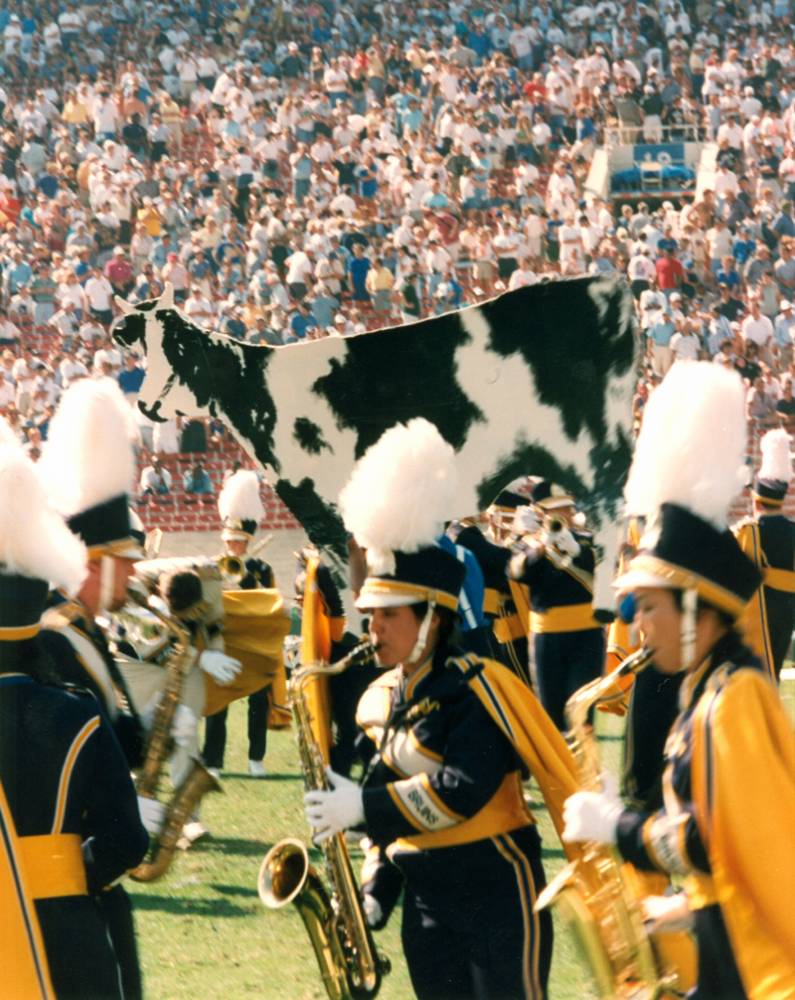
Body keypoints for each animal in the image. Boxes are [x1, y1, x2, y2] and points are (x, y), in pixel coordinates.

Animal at [112, 278, 636, 612]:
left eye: (179, 346)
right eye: (144, 349)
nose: (146, 404)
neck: (260, 392)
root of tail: (607, 285)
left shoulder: (321, 508)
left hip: (593, 453)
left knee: (611, 526)